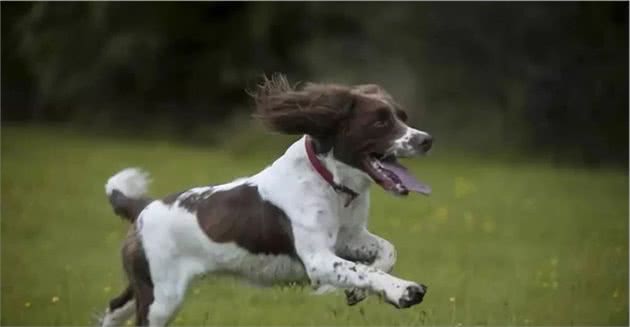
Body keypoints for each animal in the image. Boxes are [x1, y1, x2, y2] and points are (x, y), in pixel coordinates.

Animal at [100, 75, 434, 326]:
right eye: (380, 122)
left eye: (403, 117)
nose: (426, 140)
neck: (331, 182)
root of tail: (143, 207)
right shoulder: (317, 259)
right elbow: (364, 270)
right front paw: (404, 290)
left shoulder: (348, 238)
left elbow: (386, 251)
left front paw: (356, 293)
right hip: (161, 297)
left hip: (146, 285)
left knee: (112, 308)